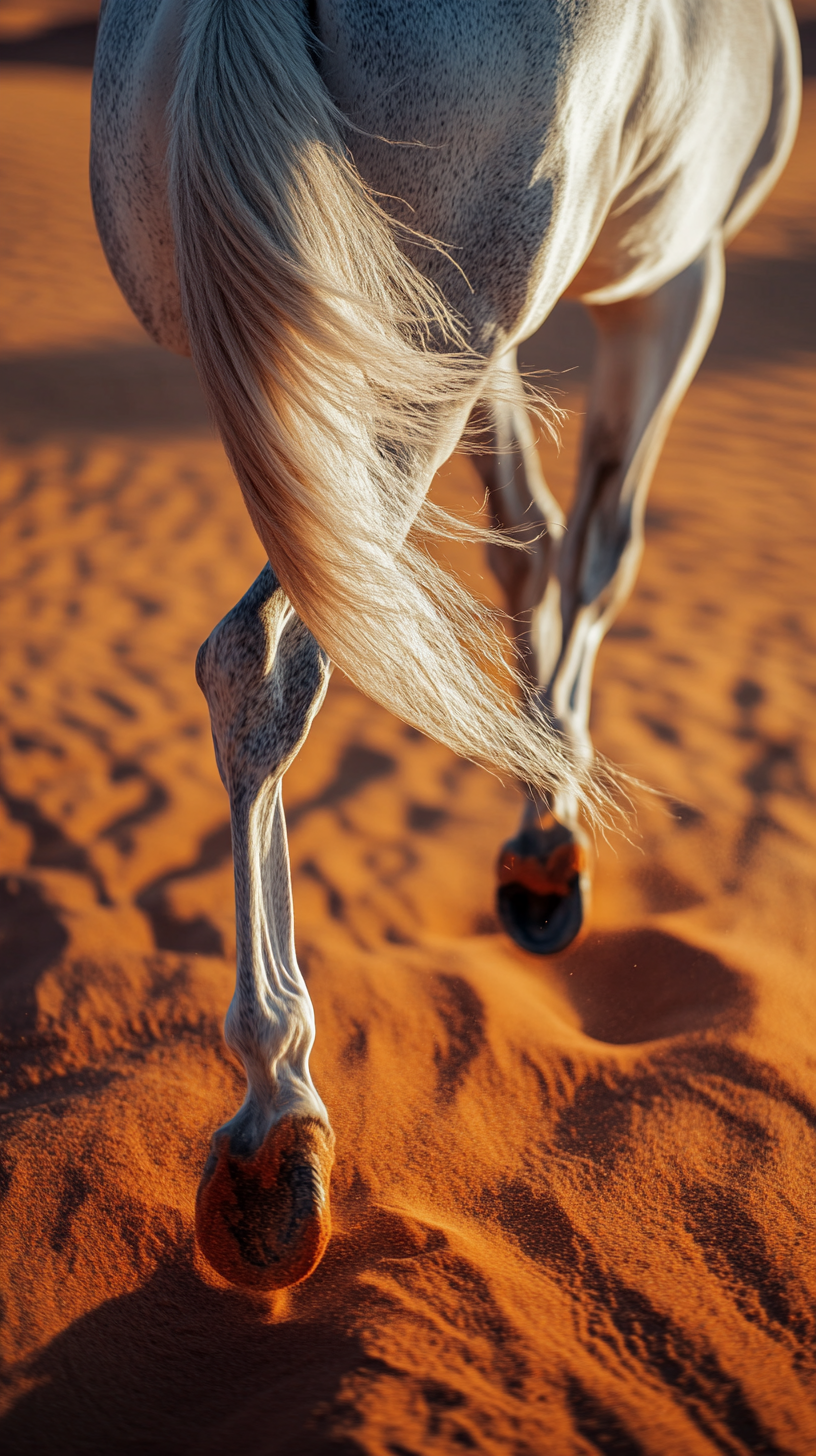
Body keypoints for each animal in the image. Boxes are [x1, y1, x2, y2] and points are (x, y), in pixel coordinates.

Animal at [87, 0, 798, 1292]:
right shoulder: (674, 279)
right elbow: (602, 550)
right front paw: (552, 836)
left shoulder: (490, 346)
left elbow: (529, 536)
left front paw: (539, 802)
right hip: (409, 351)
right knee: (269, 653)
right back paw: (278, 1134)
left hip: (339, 363)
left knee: (249, 656)